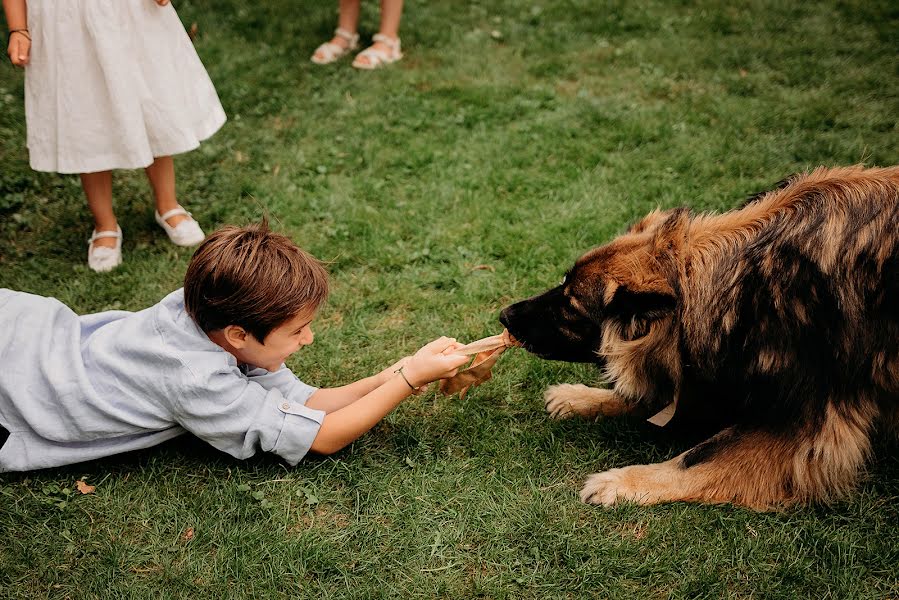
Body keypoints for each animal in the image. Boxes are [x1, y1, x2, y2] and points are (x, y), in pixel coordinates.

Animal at [502, 166, 896, 508]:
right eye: (561, 284)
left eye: (570, 307)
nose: (504, 316)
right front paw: (580, 397)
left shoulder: (809, 426)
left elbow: (696, 457)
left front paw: (621, 481)